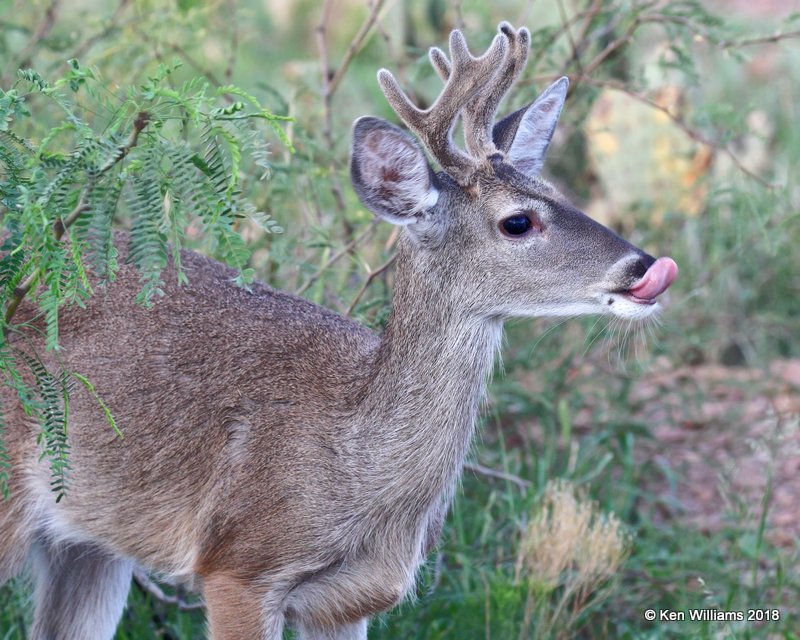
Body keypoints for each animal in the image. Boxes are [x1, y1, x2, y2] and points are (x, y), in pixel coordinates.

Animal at [0, 20, 676, 640]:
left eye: (555, 189)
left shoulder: (349, 601)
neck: (358, 469)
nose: (644, 266)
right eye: (517, 221)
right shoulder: (238, 567)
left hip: (88, 542)